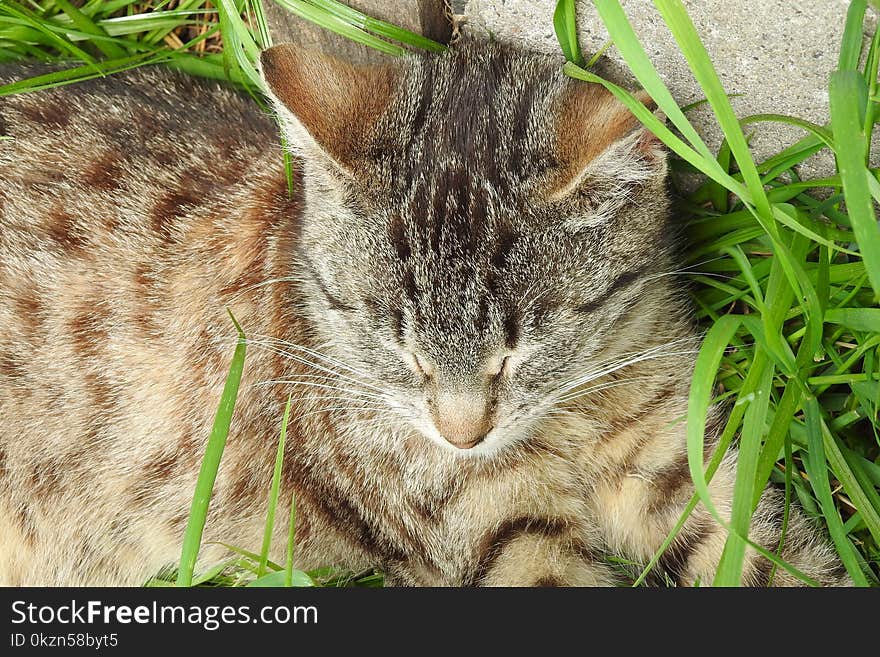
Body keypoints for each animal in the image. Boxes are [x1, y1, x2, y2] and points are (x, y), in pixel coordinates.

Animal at [0, 39, 852, 584]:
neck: (571, 418)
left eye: (518, 349)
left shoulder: (677, 461)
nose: (461, 435)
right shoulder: (496, 538)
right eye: (400, 348)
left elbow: (777, 559)